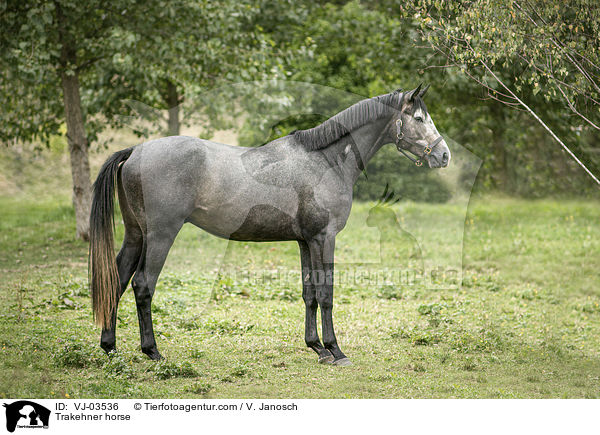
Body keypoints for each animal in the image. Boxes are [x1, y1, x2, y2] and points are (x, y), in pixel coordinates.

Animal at [89, 84, 450, 364]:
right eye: (419, 119)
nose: (444, 155)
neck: (325, 159)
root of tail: (136, 151)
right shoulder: (325, 238)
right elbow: (326, 293)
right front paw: (335, 351)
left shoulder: (306, 240)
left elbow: (309, 293)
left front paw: (316, 348)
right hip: (160, 236)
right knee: (142, 285)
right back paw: (152, 351)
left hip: (135, 235)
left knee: (117, 280)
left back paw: (110, 348)